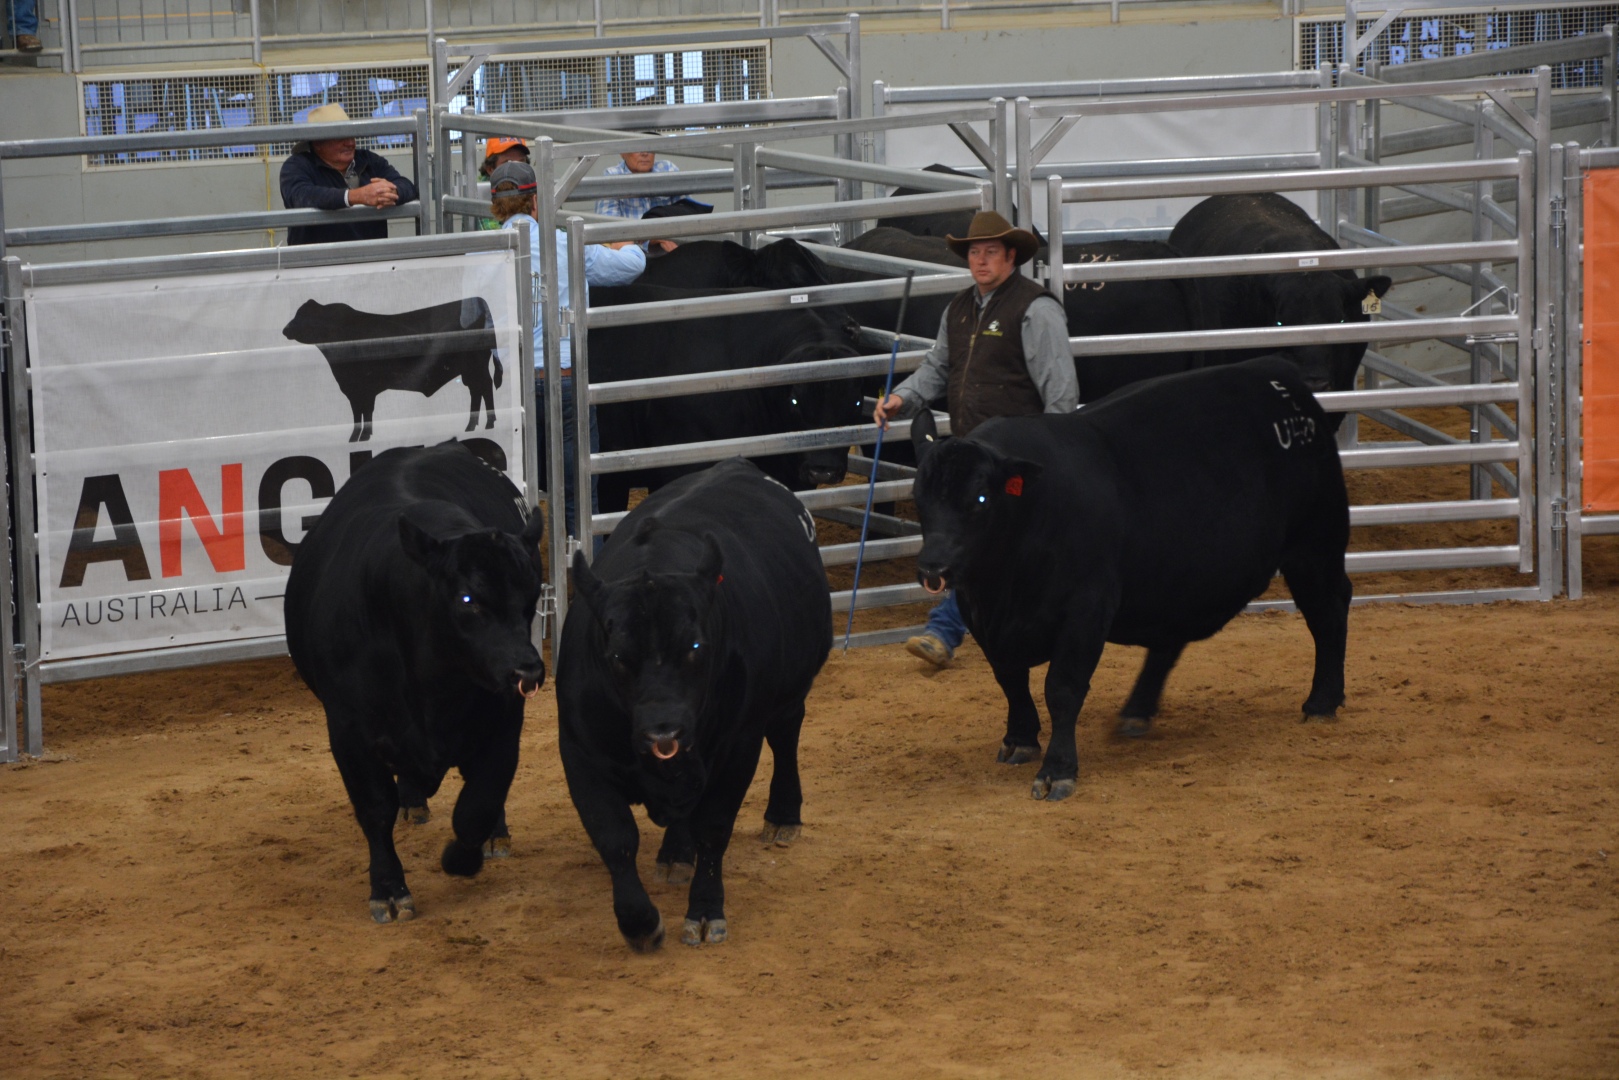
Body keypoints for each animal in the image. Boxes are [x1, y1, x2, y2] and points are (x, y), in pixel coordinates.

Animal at [282, 297, 503, 443]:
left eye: (302, 315)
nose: (285, 330)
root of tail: (479, 300)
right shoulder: (356, 389)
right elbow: (360, 413)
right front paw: (358, 437)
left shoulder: (363, 388)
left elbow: (363, 412)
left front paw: (361, 437)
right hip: (470, 370)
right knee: (476, 391)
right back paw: (472, 426)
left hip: (476, 366)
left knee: (485, 387)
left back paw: (489, 423)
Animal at [284, 442, 547, 923]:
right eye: (467, 599)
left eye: (530, 595)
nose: (528, 671)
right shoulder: (348, 732)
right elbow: (375, 808)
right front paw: (388, 889)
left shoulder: (504, 720)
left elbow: (479, 802)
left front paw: (462, 857)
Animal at [557, 457, 832, 951]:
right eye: (617, 656)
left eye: (696, 646)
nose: (663, 730)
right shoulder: (579, 752)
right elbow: (614, 837)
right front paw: (639, 922)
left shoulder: (740, 745)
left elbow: (714, 827)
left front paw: (705, 911)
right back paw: (675, 854)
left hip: (789, 694)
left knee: (786, 739)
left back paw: (783, 815)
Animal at [908, 355, 1351, 802]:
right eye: (918, 497)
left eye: (980, 498)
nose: (933, 568)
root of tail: (1277, 372)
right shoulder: (981, 617)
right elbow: (1009, 680)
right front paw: (1019, 740)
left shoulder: (1086, 610)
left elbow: (1062, 688)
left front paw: (1057, 770)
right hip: (1180, 580)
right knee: (1170, 642)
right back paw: (1137, 711)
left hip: (1316, 544)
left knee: (1329, 610)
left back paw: (1321, 702)